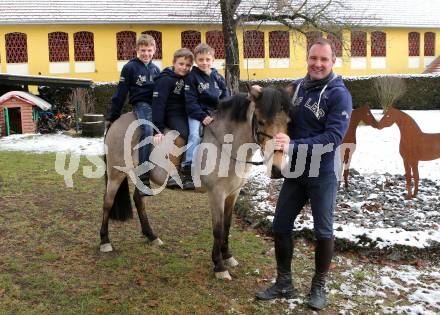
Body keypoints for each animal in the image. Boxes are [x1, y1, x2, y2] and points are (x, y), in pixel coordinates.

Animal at [100, 85, 292, 280]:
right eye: (260, 121)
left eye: (287, 122)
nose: (277, 169)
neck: (226, 143)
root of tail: (115, 122)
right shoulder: (216, 194)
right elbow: (218, 228)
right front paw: (219, 266)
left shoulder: (233, 194)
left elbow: (227, 225)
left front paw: (228, 256)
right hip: (116, 174)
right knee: (107, 203)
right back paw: (105, 241)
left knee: (138, 199)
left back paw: (151, 236)